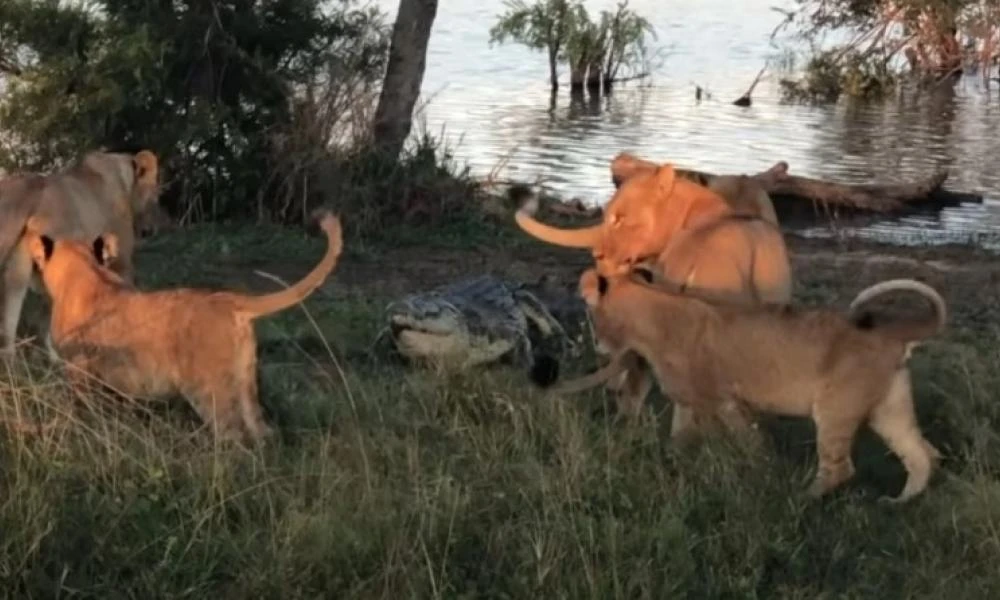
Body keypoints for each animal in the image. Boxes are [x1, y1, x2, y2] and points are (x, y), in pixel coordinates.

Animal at [23, 210, 344, 440]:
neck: (84, 269)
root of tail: (229, 300)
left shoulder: (76, 370)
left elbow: (76, 408)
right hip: (246, 383)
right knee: (262, 431)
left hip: (208, 390)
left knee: (234, 435)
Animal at [536, 270, 940, 504]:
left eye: (592, 314)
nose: (598, 345)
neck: (653, 310)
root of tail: (893, 333)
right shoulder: (691, 401)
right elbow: (680, 437)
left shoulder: (722, 400)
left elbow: (748, 442)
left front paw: (758, 475)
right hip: (889, 410)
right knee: (923, 454)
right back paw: (899, 502)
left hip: (836, 410)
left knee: (840, 468)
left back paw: (802, 498)